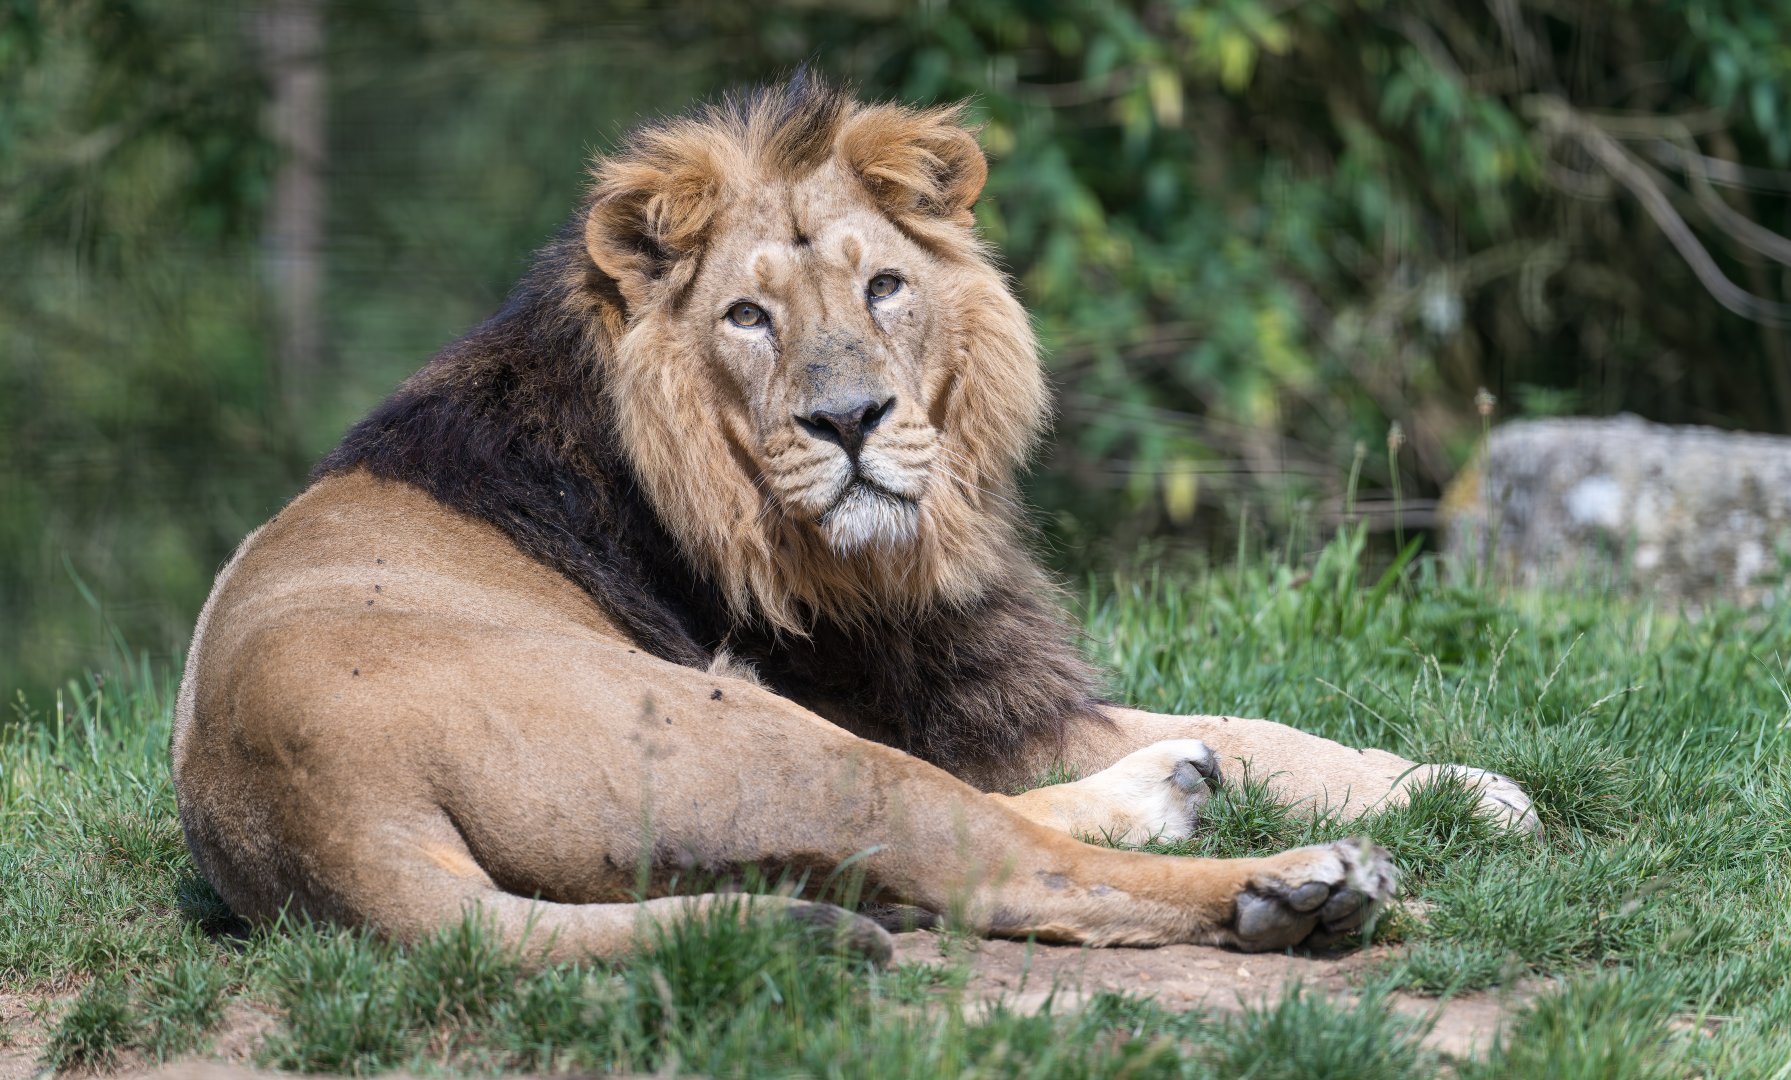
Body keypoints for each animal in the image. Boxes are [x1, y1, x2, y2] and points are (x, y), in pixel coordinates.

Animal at [172, 77, 1533, 963]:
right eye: (747, 316)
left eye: (884, 286)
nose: (850, 421)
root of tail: (315, 817)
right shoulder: (904, 691)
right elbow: (1241, 740)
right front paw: (1451, 802)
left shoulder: (977, 692)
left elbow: (1258, 726)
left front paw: (1454, 785)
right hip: (762, 736)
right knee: (1003, 869)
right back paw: (1303, 892)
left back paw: (1174, 792)